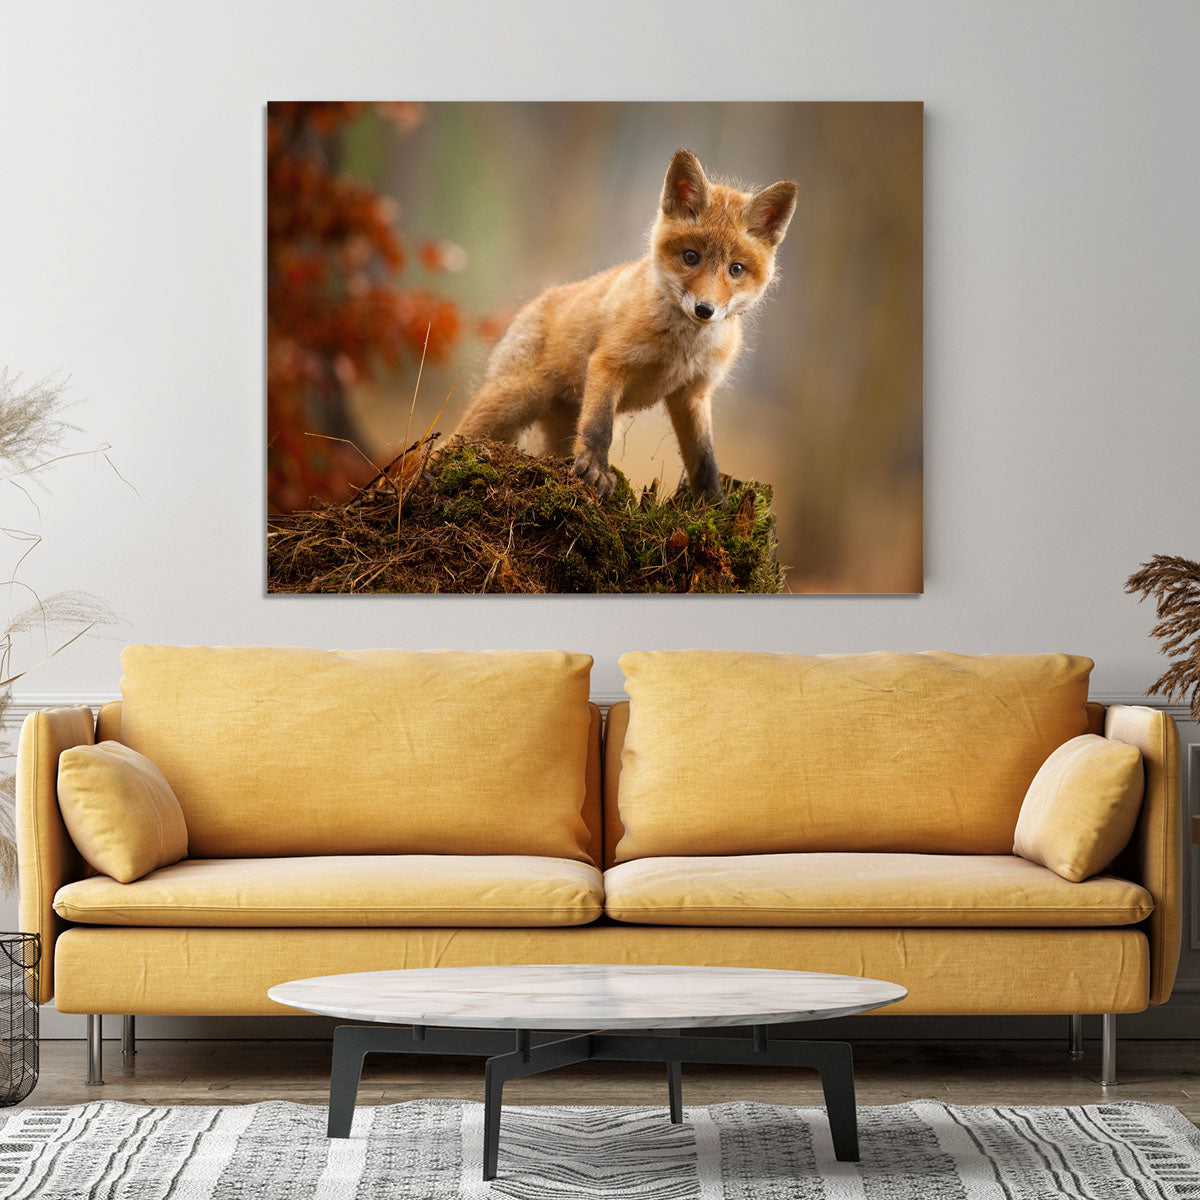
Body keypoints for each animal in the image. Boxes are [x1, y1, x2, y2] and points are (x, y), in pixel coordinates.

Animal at [455, 148, 798, 500]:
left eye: (736, 269)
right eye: (691, 257)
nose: (705, 309)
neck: (681, 349)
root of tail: (536, 301)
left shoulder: (693, 393)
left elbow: (704, 457)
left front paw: (713, 501)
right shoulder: (609, 363)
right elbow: (598, 428)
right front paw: (595, 470)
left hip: (557, 426)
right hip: (511, 402)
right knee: (455, 439)